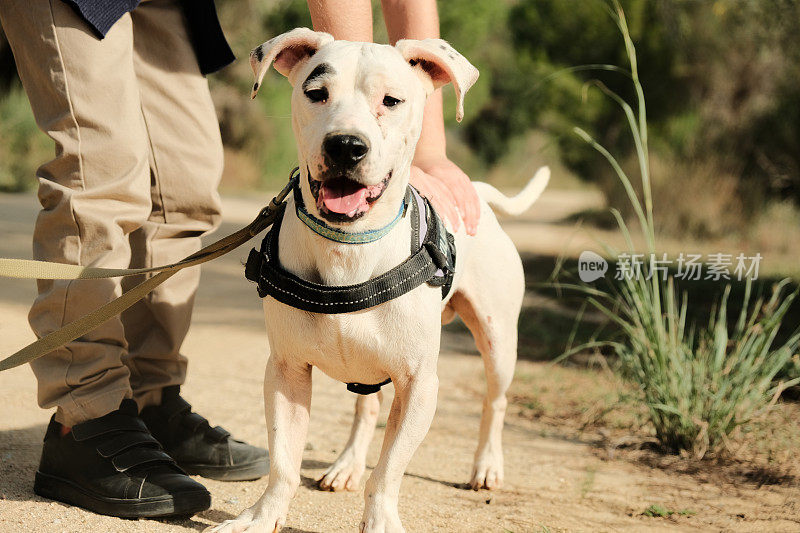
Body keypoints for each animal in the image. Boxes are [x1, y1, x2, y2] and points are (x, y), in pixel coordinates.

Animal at [208, 29, 552, 532]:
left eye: (391, 100)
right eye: (316, 93)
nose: (346, 146)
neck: (349, 247)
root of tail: (476, 193)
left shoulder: (418, 384)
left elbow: (389, 471)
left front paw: (381, 519)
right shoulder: (286, 371)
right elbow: (284, 462)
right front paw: (261, 516)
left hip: (497, 339)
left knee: (496, 401)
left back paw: (487, 466)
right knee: (366, 407)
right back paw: (347, 465)